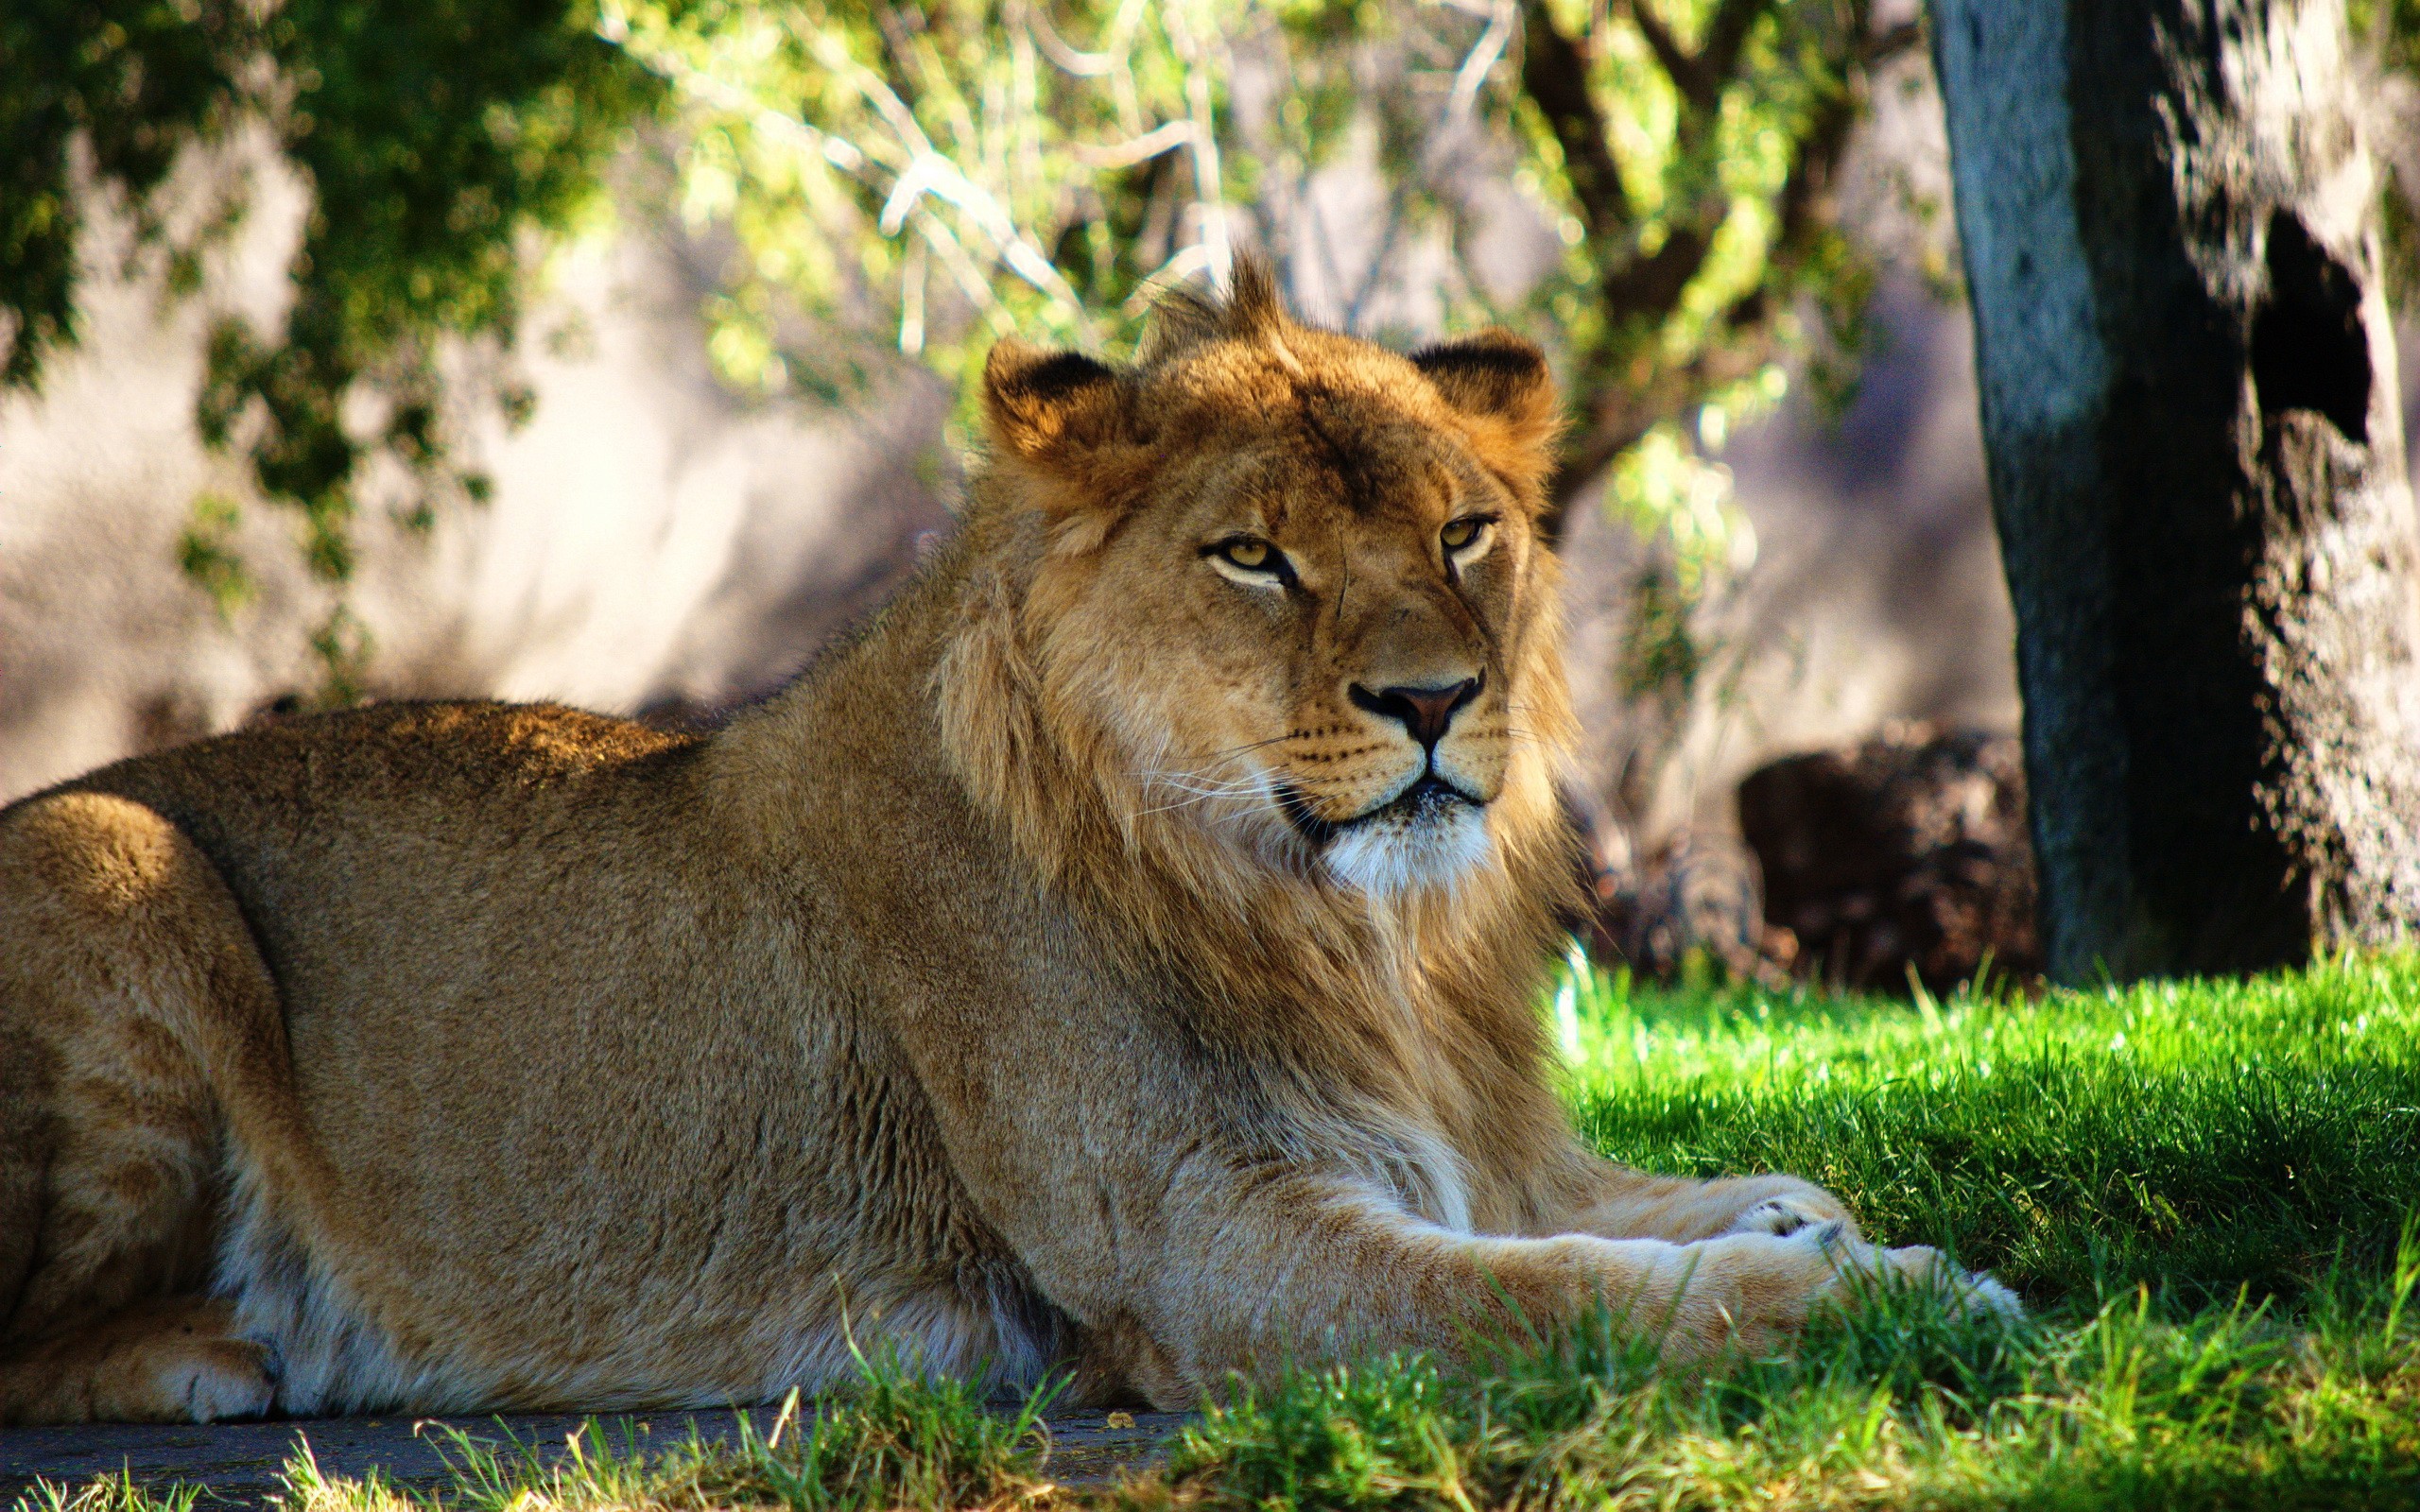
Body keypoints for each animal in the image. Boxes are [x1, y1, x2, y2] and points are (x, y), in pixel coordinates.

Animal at [0, 274, 2003, 1422]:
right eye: (1253, 557)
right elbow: (1570, 1300)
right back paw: (228, 1351)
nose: (1440, 700)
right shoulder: (1205, 1252)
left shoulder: (1461, 1147)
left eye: (1465, 533)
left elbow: (1667, 1201)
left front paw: (1821, 1224)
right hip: (114, 861)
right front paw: (1893, 1295)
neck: (1354, 938)